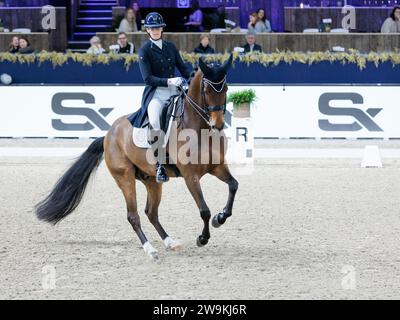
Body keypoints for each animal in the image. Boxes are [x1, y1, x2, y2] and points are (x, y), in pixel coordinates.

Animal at [35, 55, 238, 260]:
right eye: (206, 90)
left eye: (226, 89)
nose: (218, 124)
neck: (199, 128)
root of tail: (108, 134)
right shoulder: (190, 175)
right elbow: (204, 210)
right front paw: (203, 238)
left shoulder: (217, 166)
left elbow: (233, 185)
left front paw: (220, 218)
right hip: (125, 178)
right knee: (133, 216)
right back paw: (150, 249)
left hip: (152, 180)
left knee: (151, 212)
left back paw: (170, 242)